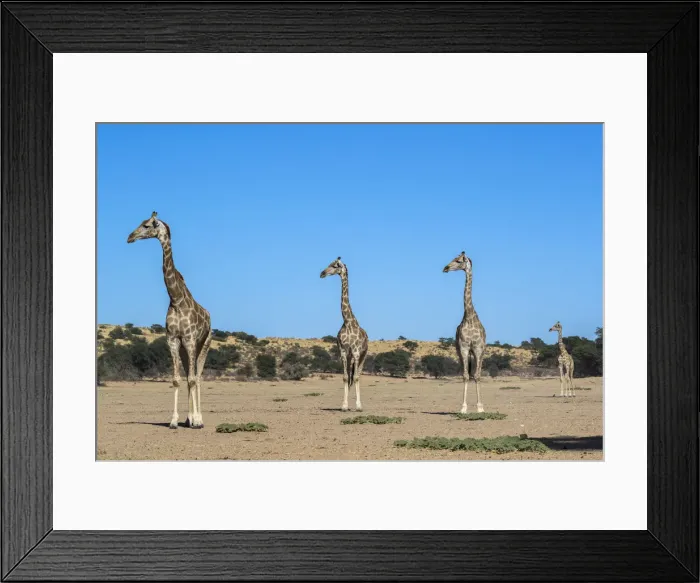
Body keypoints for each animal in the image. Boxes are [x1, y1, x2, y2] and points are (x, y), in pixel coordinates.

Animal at [127, 212, 212, 429]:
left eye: (147, 225)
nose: (130, 237)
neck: (176, 299)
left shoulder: (190, 339)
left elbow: (192, 379)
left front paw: (196, 421)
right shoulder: (173, 340)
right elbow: (177, 379)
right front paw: (174, 420)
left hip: (204, 343)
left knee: (198, 377)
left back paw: (199, 419)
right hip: (184, 349)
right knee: (191, 375)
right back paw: (189, 419)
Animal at [320, 257, 369, 412]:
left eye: (335, 265)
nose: (322, 273)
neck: (347, 321)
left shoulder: (357, 351)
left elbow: (356, 377)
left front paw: (358, 406)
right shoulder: (342, 351)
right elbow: (346, 377)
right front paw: (344, 405)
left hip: (363, 355)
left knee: (358, 375)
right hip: (349, 356)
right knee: (350, 377)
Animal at [444, 251, 487, 414]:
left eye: (458, 260)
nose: (445, 268)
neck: (469, 316)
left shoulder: (478, 348)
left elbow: (477, 376)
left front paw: (480, 408)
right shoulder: (463, 347)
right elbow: (466, 376)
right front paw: (463, 407)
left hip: (478, 352)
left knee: (476, 373)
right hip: (464, 352)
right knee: (467, 373)